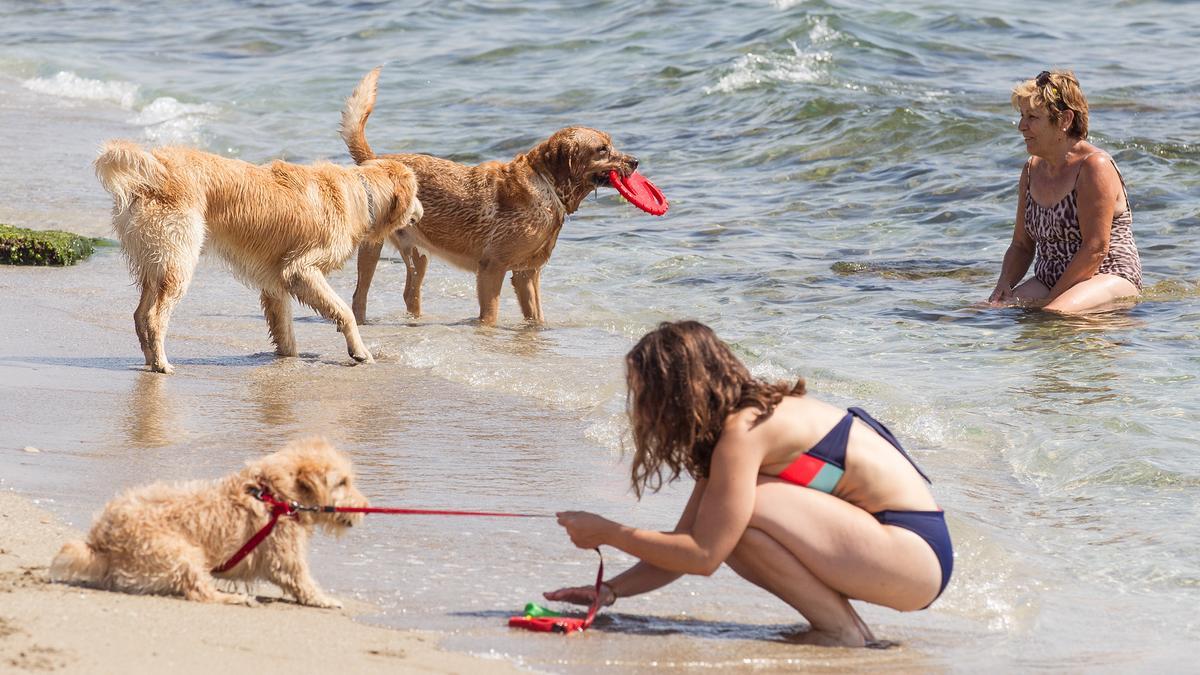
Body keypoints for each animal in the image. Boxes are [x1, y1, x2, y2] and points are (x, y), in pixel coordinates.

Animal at [49, 437, 364, 605]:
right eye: (342, 482)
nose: (363, 508)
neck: (275, 493)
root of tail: (99, 542)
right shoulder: (283, 555)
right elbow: (301, 581)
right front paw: (325, 600)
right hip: (182, 553)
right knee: (199, 591)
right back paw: (231, 598)